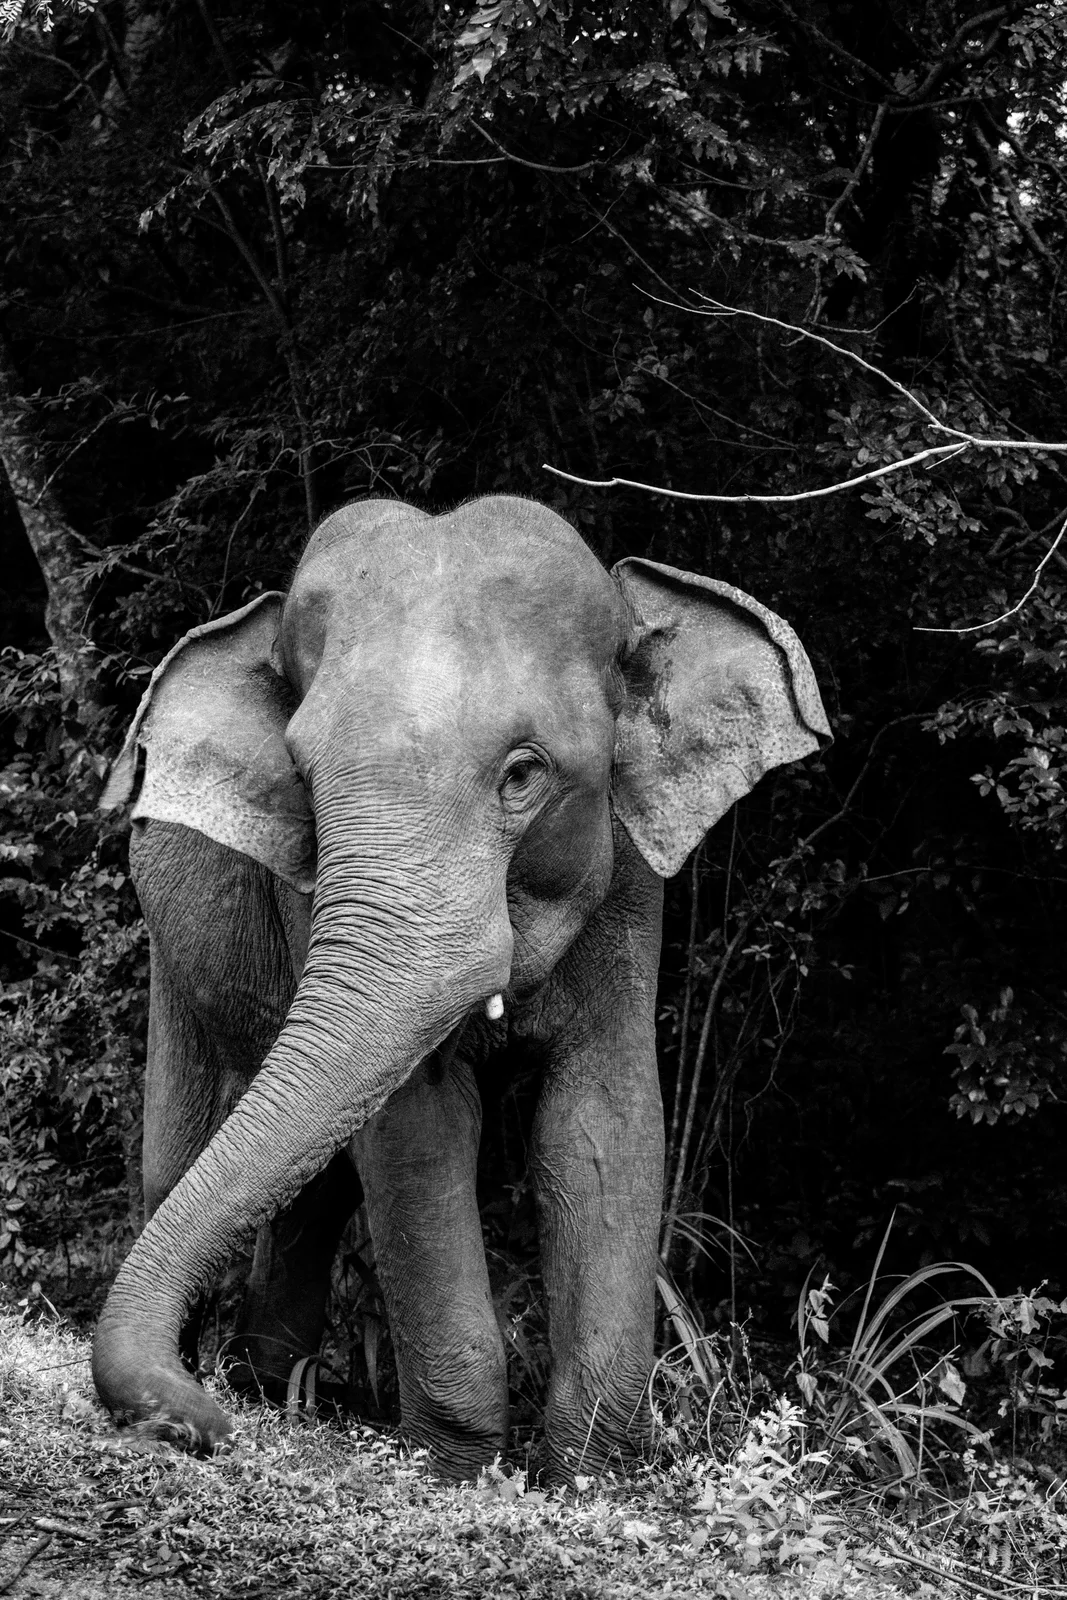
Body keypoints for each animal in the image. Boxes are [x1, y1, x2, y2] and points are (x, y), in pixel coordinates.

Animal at [91, 494, 830, 1482]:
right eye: (300, 780)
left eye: (524, 774)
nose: (194, 1426)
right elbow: (420, 1128)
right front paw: (453, 1468)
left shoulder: (634, 888)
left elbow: (603, 1121)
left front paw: (588, 1475)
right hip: (171, 945)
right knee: (185, 1154)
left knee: (311, 1181)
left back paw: (263, 1389)